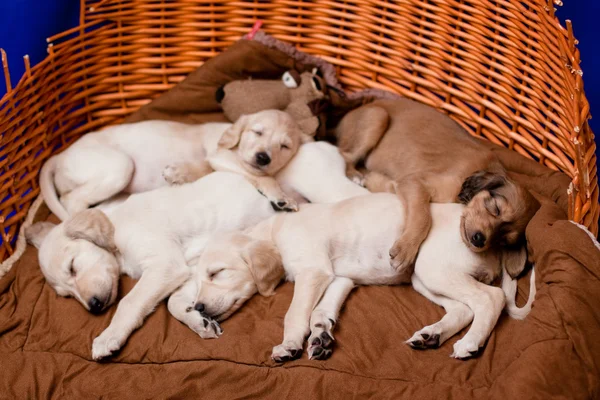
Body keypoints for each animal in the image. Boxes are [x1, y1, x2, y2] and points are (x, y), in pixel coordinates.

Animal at [40, 109, 310, 220]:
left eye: (285, 146)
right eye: (257, 132)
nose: (263, 158)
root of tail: (60, 156)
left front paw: (180, 173)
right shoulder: (221, 156)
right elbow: (264, 177)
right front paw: (282, 197)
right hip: (119, 165)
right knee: (71, 199)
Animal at [189, 195, 536, 362]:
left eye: (217, 272)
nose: (199, 308)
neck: (275, 230)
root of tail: (496, 242)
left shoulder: (313, 271)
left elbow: (295, 314)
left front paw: (289, 345)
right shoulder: (339, 278)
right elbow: (320, 312)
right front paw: (321, 336)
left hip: (432, 267)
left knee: (490, 298)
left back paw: (470, 343)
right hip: (423, 277)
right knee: (464, 308)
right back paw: (432, 336)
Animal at [326, 99, 540, 282]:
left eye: (504, 241)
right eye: (495, 208)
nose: (479, 240)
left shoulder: (406, 183)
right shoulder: (414, 182)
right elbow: (423, 217)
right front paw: (406, 250)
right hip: (377, 117)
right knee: (344, 154)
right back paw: (355, 174)